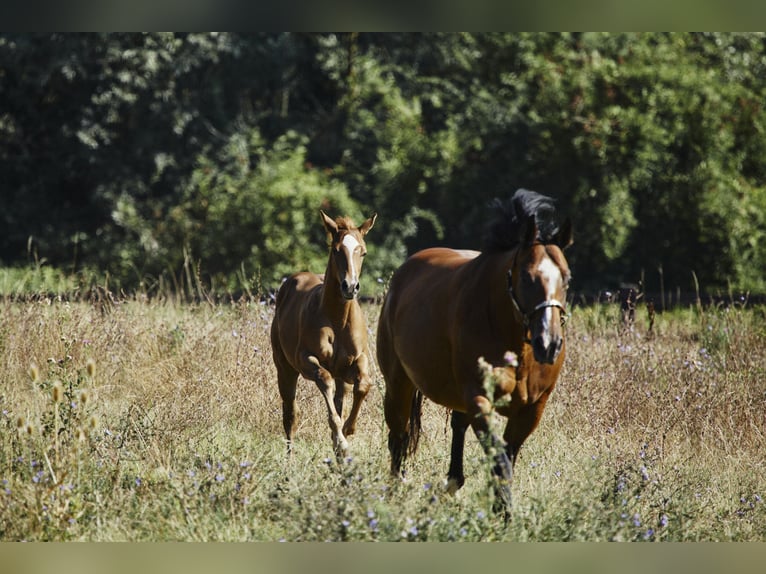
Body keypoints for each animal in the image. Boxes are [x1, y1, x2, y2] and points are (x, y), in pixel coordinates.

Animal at [270, 210, 378, 460]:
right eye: (336, 250)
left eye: (363, 252)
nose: (350, 287)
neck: (337, 320)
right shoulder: (306, 359)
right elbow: (325, 380)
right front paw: (340, 440)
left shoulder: (359, 359)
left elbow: (363, 385)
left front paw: (346, 432)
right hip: (285, 369)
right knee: (290, 414)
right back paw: (289, 459)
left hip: (341, 375)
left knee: (340, 397)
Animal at [380, 190, 572, 516]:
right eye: (526, 277)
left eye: (567, 279)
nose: (549, 344)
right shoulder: (480, 399)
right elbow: (501, 462)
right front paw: (503, 515)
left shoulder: (532, 409)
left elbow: (506, 460)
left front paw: (500, 511)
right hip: (398, 384)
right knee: (399, 435)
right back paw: (396, 489)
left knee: (456, 427)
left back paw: (451, 484)